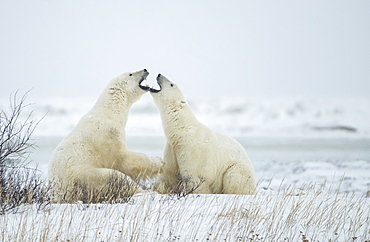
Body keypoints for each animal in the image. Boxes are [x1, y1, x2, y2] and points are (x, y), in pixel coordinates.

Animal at [47, 69, 162, 203]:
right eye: (130, 74)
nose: (145, 69)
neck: (109, 113)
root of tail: (57, 194)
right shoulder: (107, 136)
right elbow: (123, 158)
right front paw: (160, 162)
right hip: (85, 176)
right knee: (117, 178)